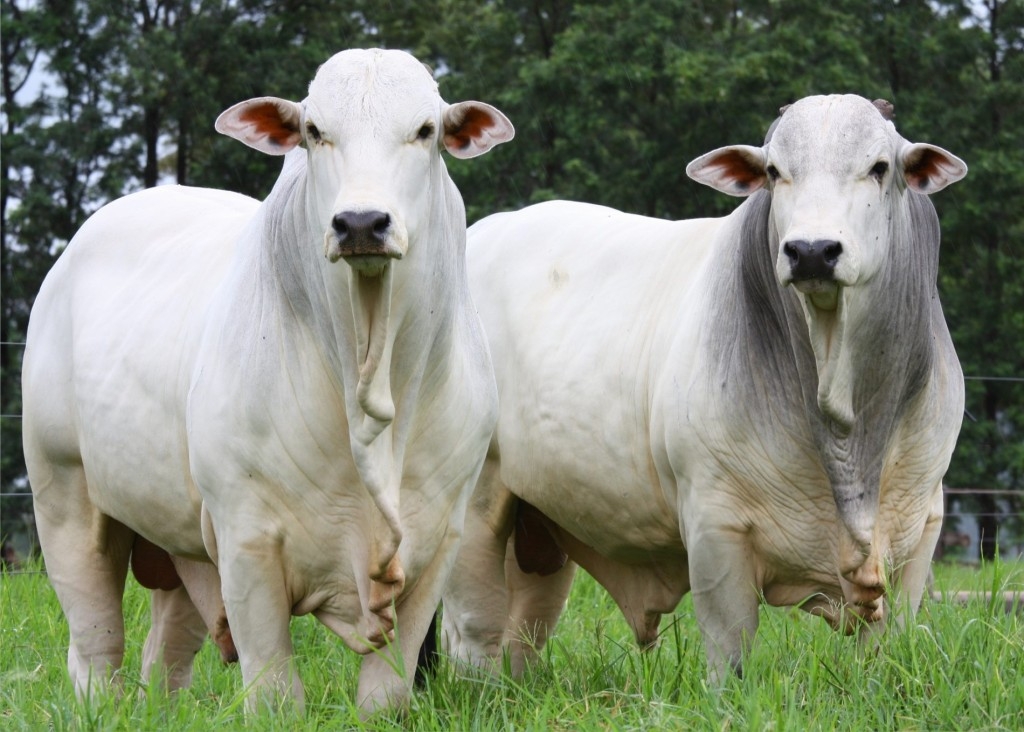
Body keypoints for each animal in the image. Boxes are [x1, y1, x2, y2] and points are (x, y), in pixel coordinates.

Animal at [25, 48, 512, 712]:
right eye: (314, 131)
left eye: (425, 130)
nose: (361, 222)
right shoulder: (246, 540)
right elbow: (276, 689)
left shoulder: (437, 541)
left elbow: (386, 690)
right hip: (64, 495)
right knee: (96, 647)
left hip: (180, 539)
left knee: (166, 653)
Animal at [442, 94, 966, 683]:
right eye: (773, 172)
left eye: (879, 167)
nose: (811, 251)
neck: (847, 428)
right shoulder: (716, 528)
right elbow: (729, 649)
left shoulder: (920, 531)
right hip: (476, 503)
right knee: (472, 631)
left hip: (537, 525)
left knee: (525, 629)